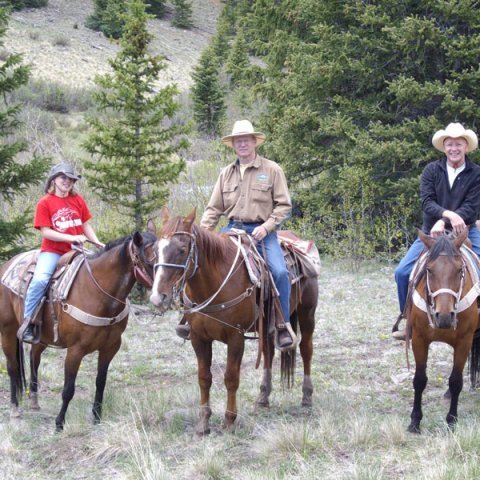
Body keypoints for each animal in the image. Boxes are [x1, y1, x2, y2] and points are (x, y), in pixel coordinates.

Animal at [0, 231, 156, 431]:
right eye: (151, 261)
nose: (165, 293)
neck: (98, 293)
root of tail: (7, 265)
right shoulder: (75, 350)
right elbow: (68, 389)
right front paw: (59, 423)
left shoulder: (111, 347)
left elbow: (100, 382)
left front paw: (97, 418)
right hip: (8, 331)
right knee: (12, 367)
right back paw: (15, 410)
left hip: (41, 336)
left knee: (34, 359)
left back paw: (34, 401)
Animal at [148, 208, 319, 435]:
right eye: (155, 250)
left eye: (182, 250)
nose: (158, 297)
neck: (213, 284)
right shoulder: (198, 338)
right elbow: (204, 378)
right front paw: (203, 423)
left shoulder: (235, 336)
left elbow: (231, 377)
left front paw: (229, 421)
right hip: (267, 324)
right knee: (268, 352)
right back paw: (263, 398)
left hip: (307, 314)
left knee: (306, 350)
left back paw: (307, 397)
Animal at [405, 229, 480, 433]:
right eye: (429, 270)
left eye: (460, 270)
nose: (444, 316)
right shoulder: (419, 339)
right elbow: (419, 379)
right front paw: (415, 421)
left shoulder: (464, 341)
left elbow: (456, 381)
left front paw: (451, 420)